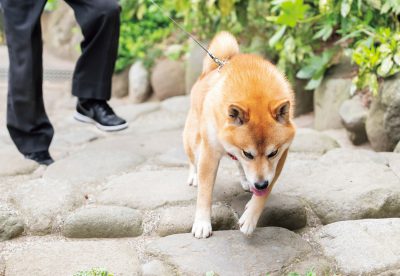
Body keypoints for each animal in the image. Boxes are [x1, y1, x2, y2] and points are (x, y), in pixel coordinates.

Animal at [183, 31, 296, 238]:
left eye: (273, 153)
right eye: (248, 154)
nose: (260, 184)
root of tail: (209, 71)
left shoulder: (280, 158)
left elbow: (265, 194)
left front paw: (250, 218)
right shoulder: (209, 154)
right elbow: (205, 193)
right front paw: (202, 223)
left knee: (237, 164)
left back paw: (245, 181)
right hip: (194, 142)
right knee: (193, 160)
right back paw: (194, 176)